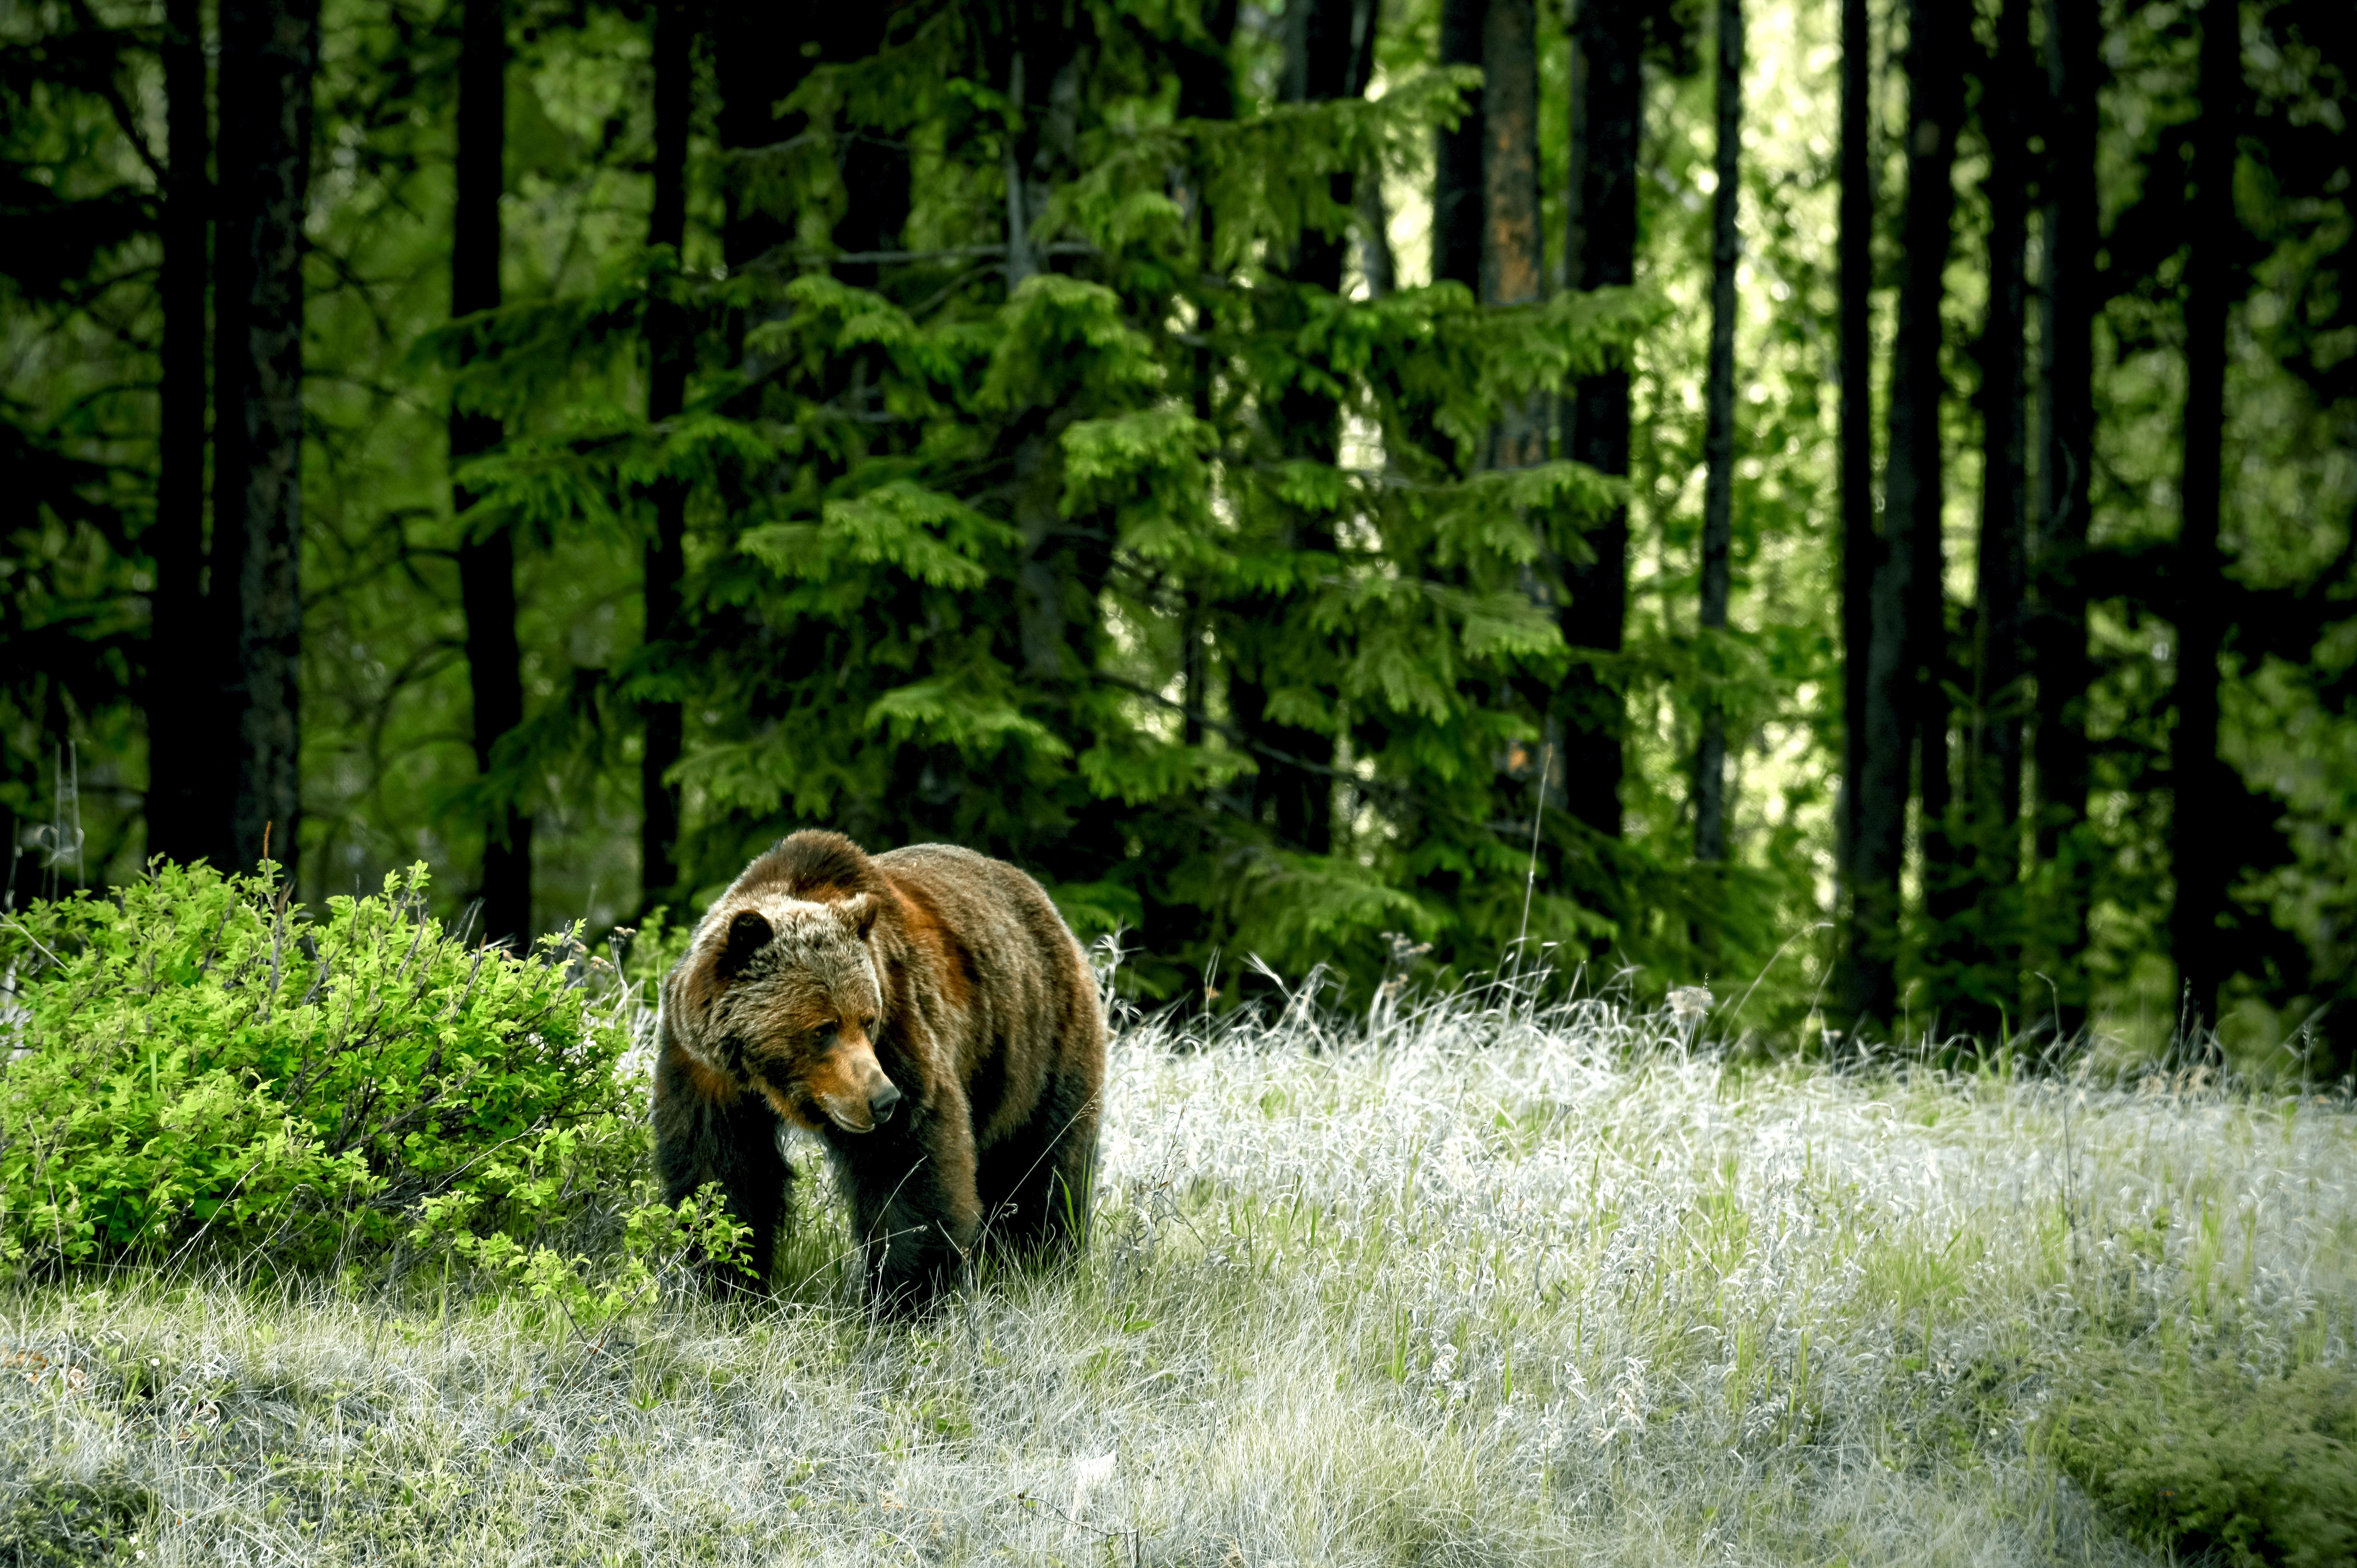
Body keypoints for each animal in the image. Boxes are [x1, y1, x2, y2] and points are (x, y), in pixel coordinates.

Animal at [650, 830, 1108, 1311]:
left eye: (866, 1019)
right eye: (823, 1028)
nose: (883, 1099)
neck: (767, 1081)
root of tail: (1050, 910)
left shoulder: (902, 1031)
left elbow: (910, 1168)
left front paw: (906, 1297)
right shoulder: (704, 1071)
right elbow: (720, 1175)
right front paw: (726, 1286)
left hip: (1037, 1046)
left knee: (1044, 1167)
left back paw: (1040, 1261)